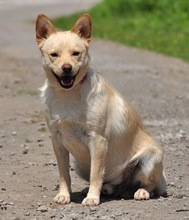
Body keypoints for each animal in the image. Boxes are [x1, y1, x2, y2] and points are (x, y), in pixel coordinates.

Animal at [35, 14, 165, 206]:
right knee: (110, 183)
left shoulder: (97, 140)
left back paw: (141, 192)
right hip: (79, 165)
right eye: (54, 55)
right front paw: (64, 195)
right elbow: (64, 174)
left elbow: (95, 173)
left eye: (76, 53)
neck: (68, 94)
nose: (67, 68)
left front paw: (92, 198)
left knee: (150, 185)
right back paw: (105, 189)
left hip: (150, 159)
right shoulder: (57, 140)